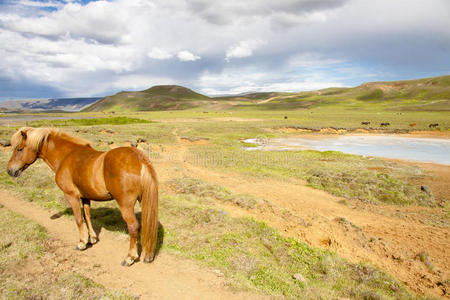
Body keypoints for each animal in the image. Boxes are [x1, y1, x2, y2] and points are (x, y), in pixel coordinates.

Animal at [6, 127, 158, 266]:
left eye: (19, 149)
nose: (9, 170)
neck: (66, 156)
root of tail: (139, 158)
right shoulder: (85, 196)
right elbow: (87, 216)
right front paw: (92, 238)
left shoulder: (71, 196)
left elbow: (78, 219)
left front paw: (82, 243)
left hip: (125, 205)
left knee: (133, 227)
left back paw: (130, 257)